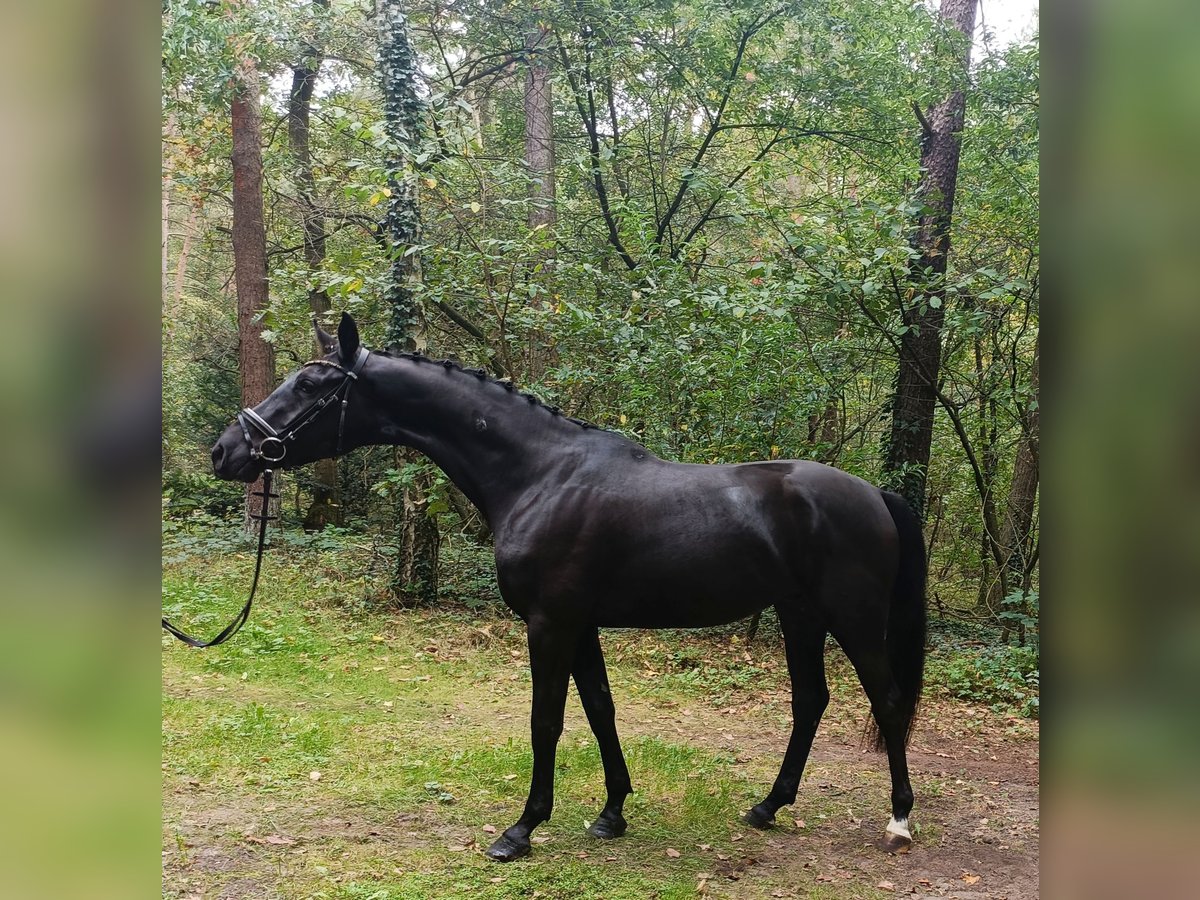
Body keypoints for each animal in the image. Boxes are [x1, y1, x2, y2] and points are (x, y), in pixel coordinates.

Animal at [213, 314, 926, 864]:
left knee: (888, 702)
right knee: (811, 702)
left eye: (312, 384)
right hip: (799, 614)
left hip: (854, 618)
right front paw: (612, 814)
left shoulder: (551, 623)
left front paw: (521, 829)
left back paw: (898, 821)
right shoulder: (581, 625)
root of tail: (876, 495)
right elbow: (600, 711)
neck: (540, 475)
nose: (226, 451)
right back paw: (767, 807)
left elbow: (547, 721)